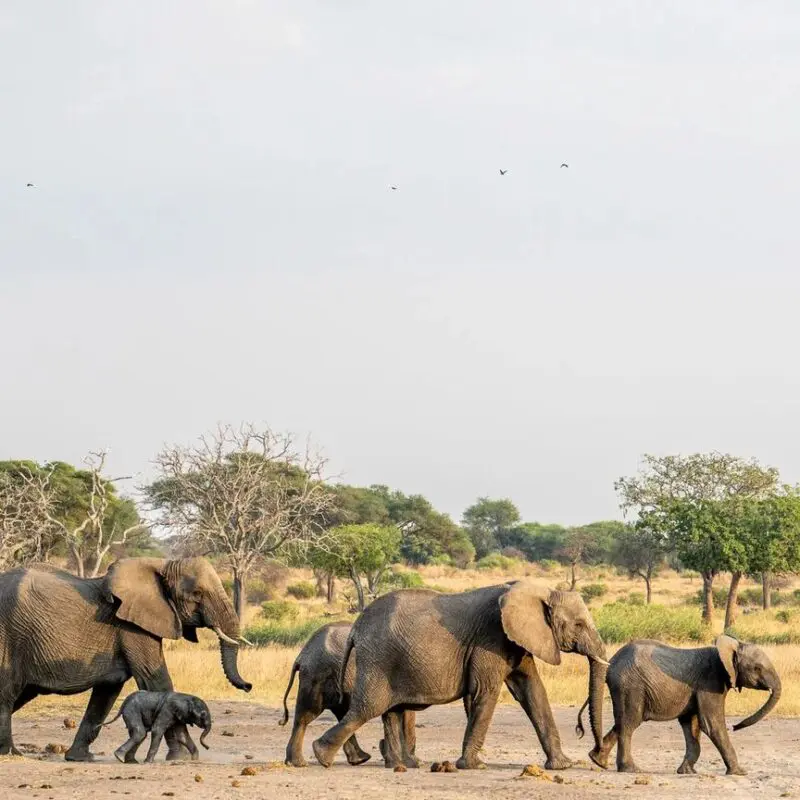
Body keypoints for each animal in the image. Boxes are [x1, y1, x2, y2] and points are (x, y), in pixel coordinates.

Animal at [0, 557, 252, 762]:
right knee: (7, 693)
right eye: (197, 594)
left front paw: (79, 758)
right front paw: (180, 758)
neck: (161, 565)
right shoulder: (133, 628)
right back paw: (12, 754)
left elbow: (106, 693)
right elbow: (155, 680)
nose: (248, 686)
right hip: (9, 637)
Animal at [280, 621, 420, 768]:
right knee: (307, 714)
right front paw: (412, 763)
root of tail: (301, 656)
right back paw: (300, 763)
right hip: (317, 675)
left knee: (337, 713)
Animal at [311, 581, 609, 771]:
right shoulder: (491, 639)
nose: (597, 756)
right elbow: (485, 692)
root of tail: (355, 628)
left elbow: (533, 692)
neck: (541, 591)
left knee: (390, 710)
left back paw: (399, 765)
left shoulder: (518, 641)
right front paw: (475, 766)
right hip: (378, 659)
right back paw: (322, 756)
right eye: (578, 625)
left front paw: (563, 765)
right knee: (367, 708)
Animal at [576, 635, 781, 775]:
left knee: (622, 721)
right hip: (630, 685)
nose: (736, 726)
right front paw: (739, 772)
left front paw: (686, 772)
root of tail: (611, 662)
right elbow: (712, 725)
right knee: (629, 723)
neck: (729, 647)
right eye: (757, 668)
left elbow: (692, 726)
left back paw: (598, 760)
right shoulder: (710, 682)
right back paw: (631, 769)